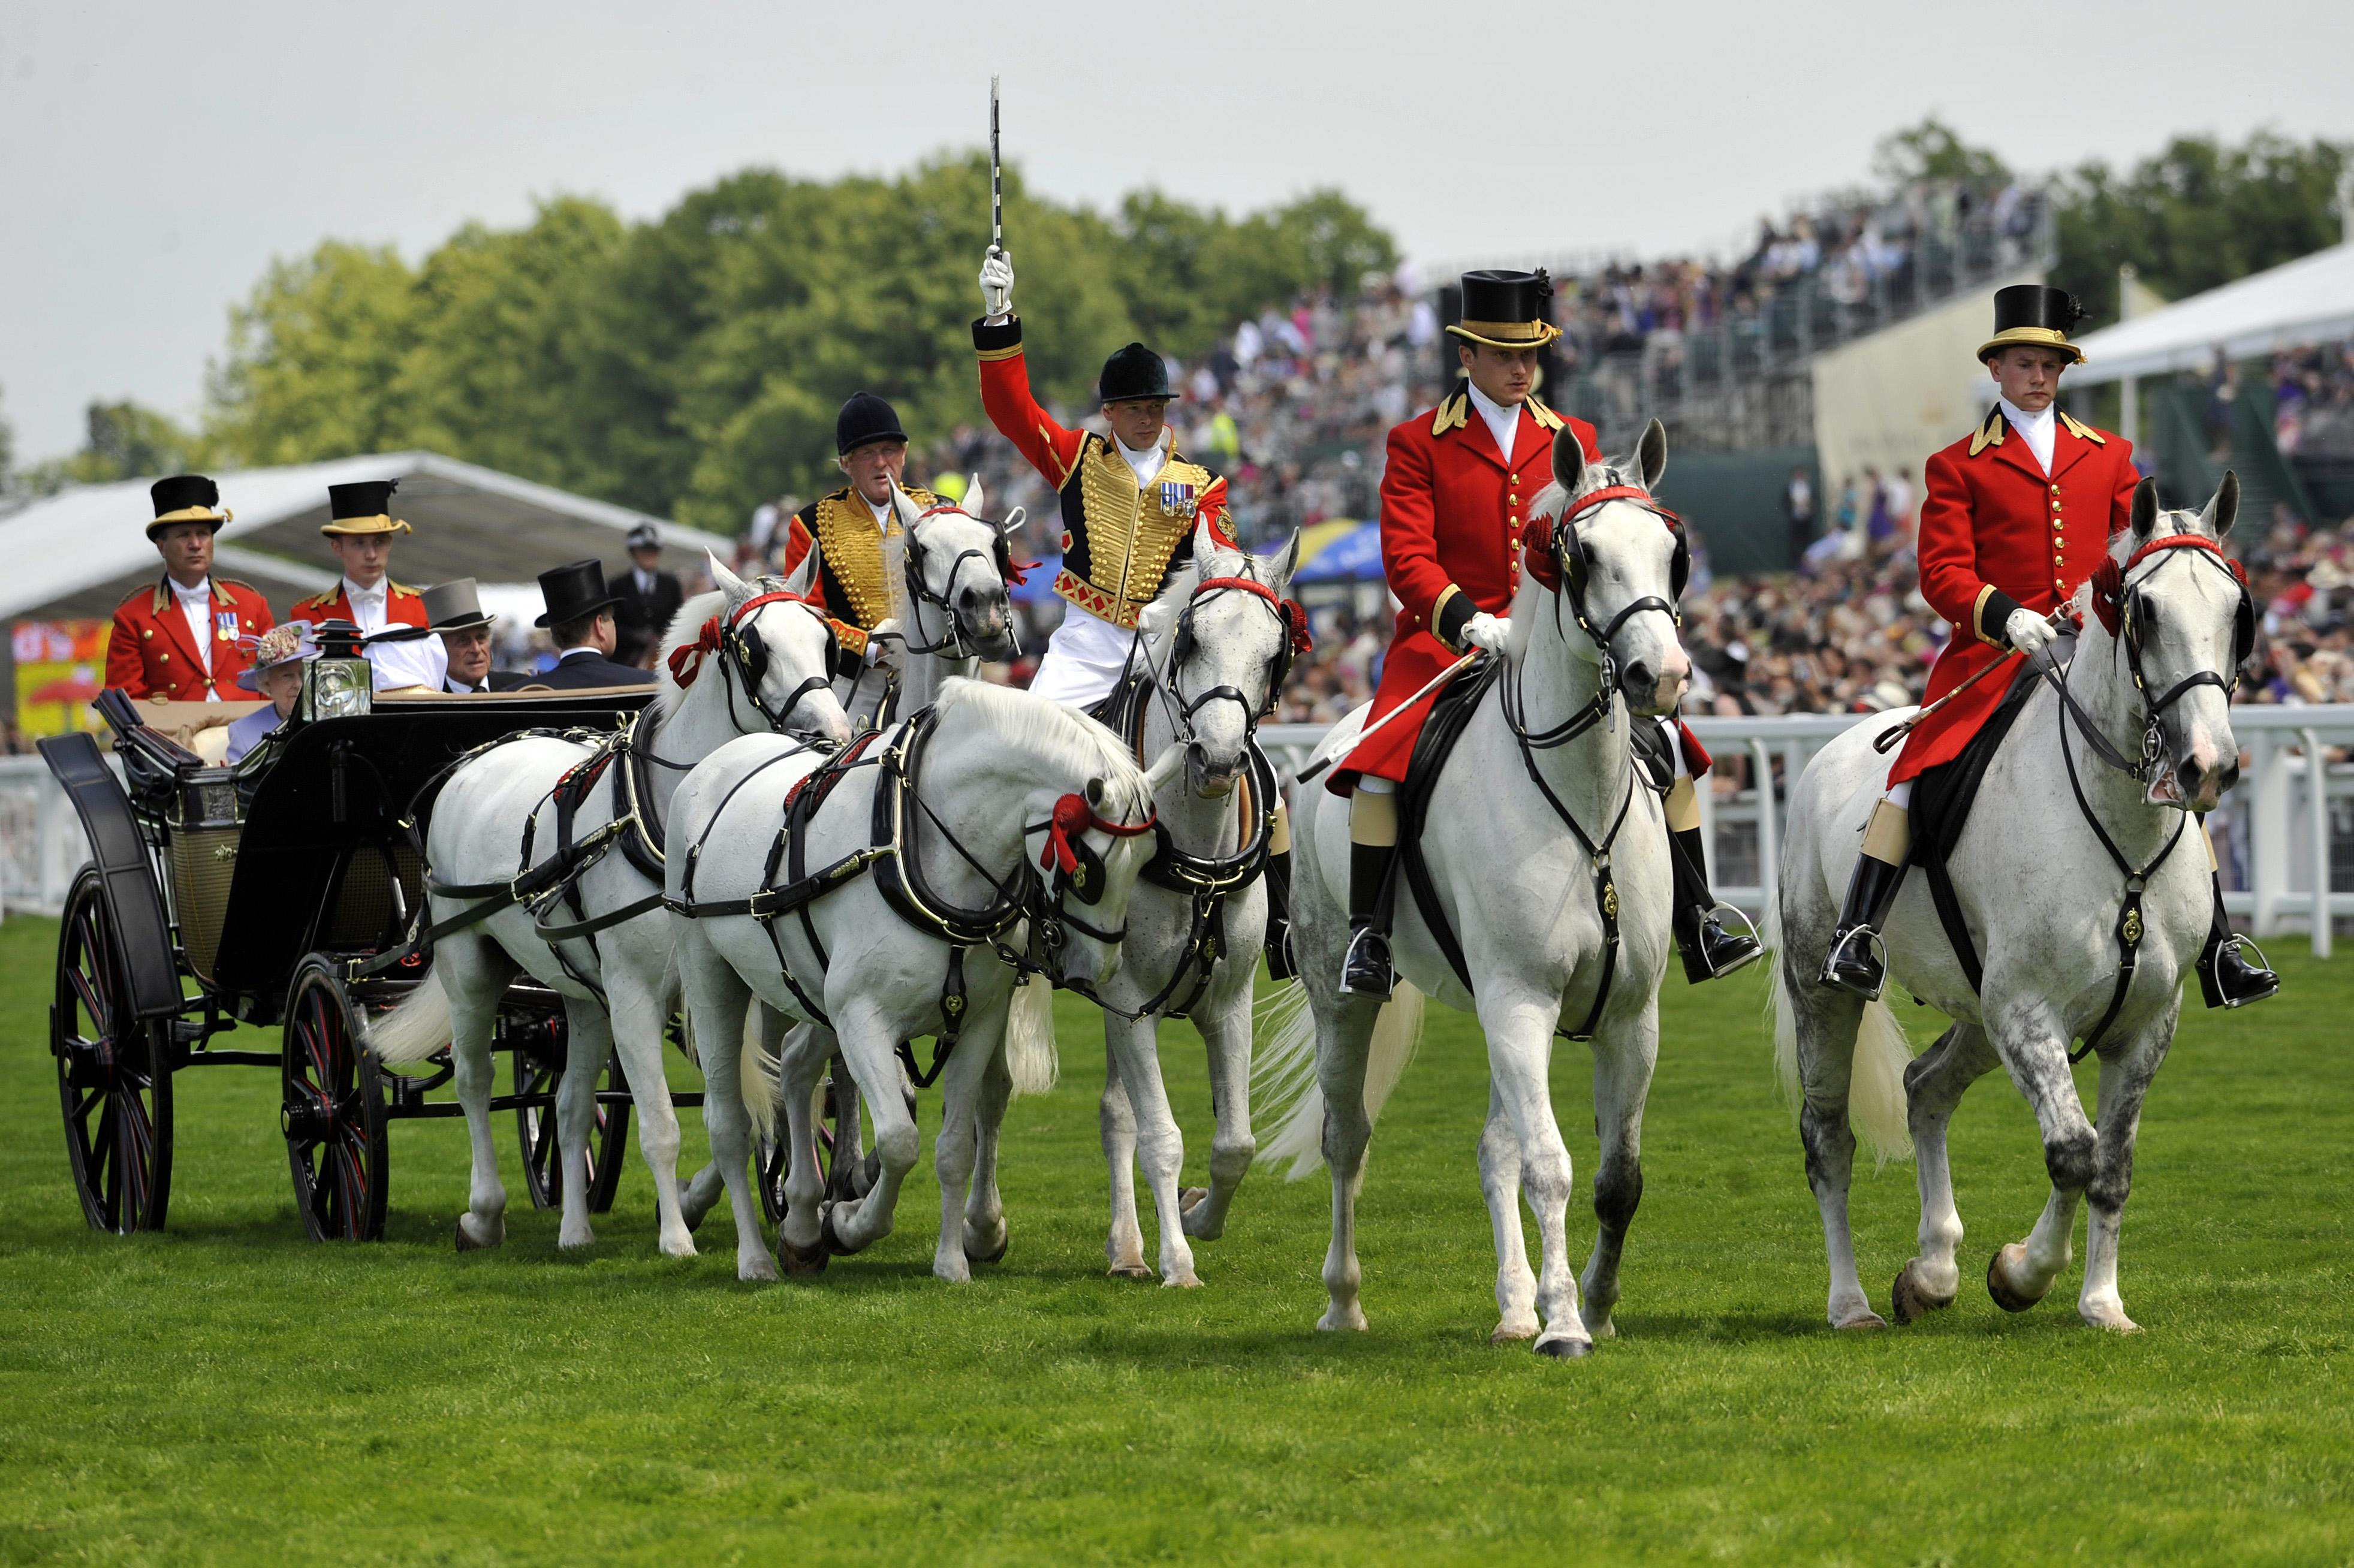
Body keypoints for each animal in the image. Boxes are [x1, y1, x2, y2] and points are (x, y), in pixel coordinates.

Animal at [362, 555, 852, 1252]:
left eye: (827, 642)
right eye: (754, 650)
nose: (833, 734)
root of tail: (482, 753)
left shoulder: (734, 984)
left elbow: (763, 1103)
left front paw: (701, 1201)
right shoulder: (636, 991)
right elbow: (663, 1124)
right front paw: (676, 1237)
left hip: (580, 992)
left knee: (567, 1103)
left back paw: (573, 1229)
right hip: (469, 963)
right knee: (475, 1081)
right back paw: (483, 1214)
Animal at [668, 678, 1177, 1280]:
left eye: (1149, 859)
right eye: (1088, 873)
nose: (1099, 970)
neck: (910, 842)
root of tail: (712, 765)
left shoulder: (977, 1021)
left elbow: (955, 1146)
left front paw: (951, 1262)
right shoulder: (861, 1020)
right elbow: (898, 1140)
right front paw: (852, 1224)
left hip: (818, 994)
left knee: (794, 1064)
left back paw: (800, 1226)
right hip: (711, 973)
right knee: (729, 1122)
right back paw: (755, 1258)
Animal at [1271, 419, 1695, 1356]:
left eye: (1670, 552)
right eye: (1582, 554)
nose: (1661, 677)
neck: (1577, 791)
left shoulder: (1632, 1016)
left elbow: (1617, 1177)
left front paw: (1595, 1307)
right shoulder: (1520, 1001)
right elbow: (1551, 1167)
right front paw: (1566, 1321)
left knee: (1493, 1147)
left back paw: (1512, 1305)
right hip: (1346, 996)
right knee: (1347, 1139)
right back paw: (1343, 1299)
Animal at [1770, 471, 2250, 1328]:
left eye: (2237, 611)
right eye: (2146, 611)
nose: (2208, 766)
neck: (2119, 831)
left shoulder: (2143, 1026)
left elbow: (2111, 1166)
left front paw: (2101, 1304)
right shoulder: (2029, 1011)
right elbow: (2074, 1151)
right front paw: (2023, 1274)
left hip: (1979, 1011)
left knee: (1926, 1089)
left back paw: (1932, 1270)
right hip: (1827, 991)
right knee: (1828, 1140)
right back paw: (1851, 1303)